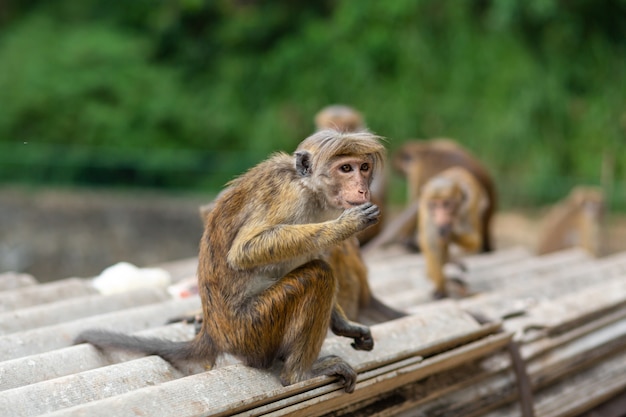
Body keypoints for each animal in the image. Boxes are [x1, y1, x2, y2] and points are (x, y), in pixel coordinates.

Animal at [74, 130, 386, 394]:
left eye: (363, 167)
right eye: (345, 169)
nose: (362, 189)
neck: (309, 188)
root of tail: (215, 333)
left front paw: (347, 326)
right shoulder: (290, 197)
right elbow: (245, 250)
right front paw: (347, 225)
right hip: (252, 329)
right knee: (317, 275)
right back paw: (298, 375)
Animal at [416, 167, 490, 298]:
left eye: (446, 204)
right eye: (434, 205)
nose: (440, 216)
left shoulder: (469, 206)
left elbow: (475, 241)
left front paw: (450, 232)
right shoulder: (426, 209)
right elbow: (432, 242)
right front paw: (441, 286)